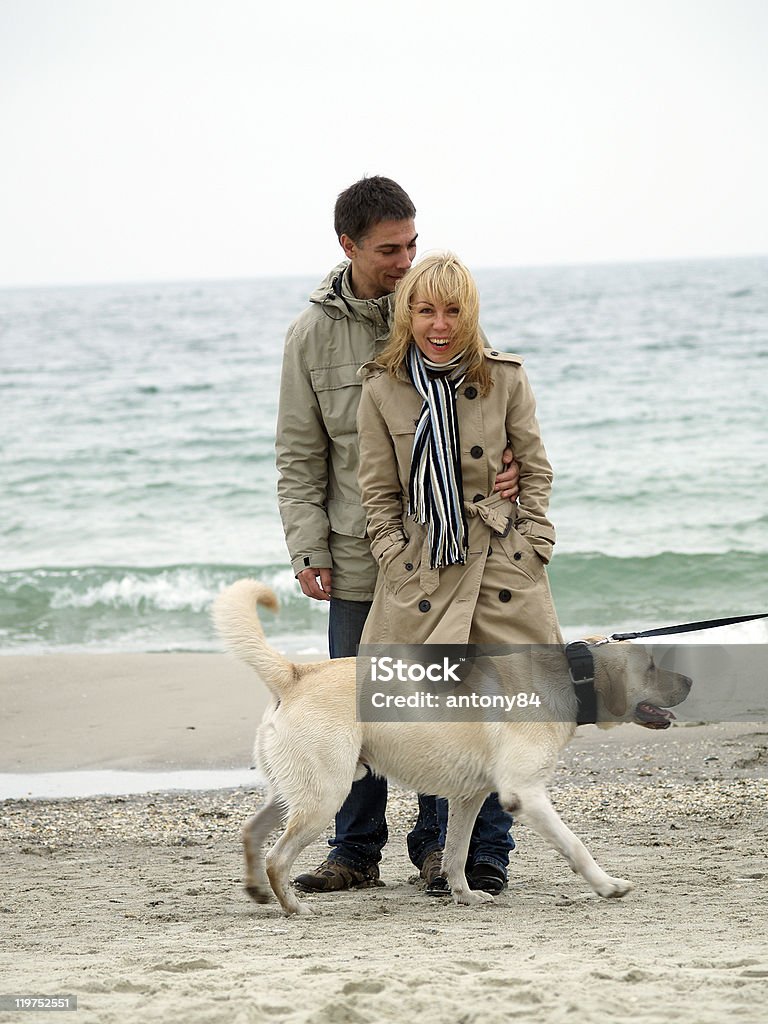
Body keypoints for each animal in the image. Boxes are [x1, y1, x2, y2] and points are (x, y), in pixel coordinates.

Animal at [214, 581, 696, 917]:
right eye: (652, 667)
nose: (691, 681)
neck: (570, 675)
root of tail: (296, 673)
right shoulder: (526, 793)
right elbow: (574, 845)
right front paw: (607, 885)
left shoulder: (469, 797)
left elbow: (457, 853)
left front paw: (465, 895)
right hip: (326, 796)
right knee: (277, 857)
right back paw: (294, 906)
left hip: (296, 792)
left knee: (252, 832)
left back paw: (257, 890)